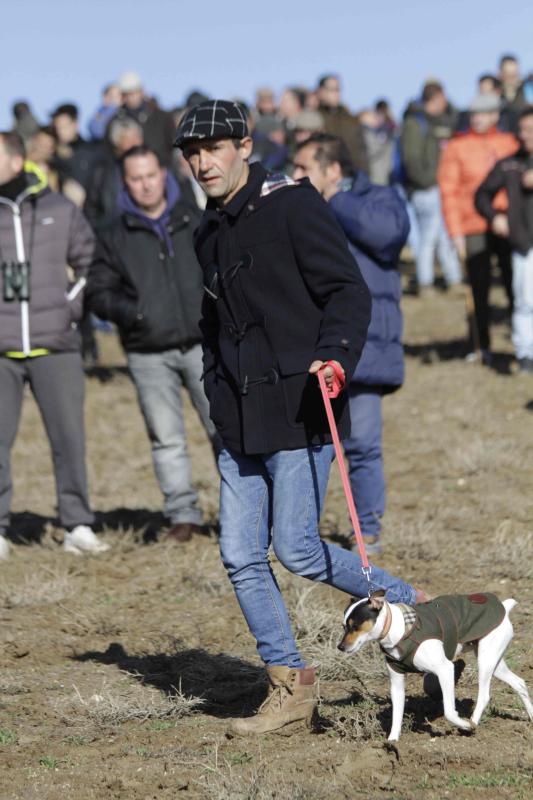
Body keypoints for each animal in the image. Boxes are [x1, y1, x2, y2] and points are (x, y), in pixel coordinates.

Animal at [338, 588, 528, 744]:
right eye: (344, 626)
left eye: (355, 626)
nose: (340, 647)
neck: (398, 630)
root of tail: (503, 607)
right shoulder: (396, 682)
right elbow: (397, 714)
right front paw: (393, 741)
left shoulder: (445, 670)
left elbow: (449, 712)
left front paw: (464, 725)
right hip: (495, 662)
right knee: (520, 683)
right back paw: (531, 718)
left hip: (485, 661)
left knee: (484, 695)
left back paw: (472, 723)